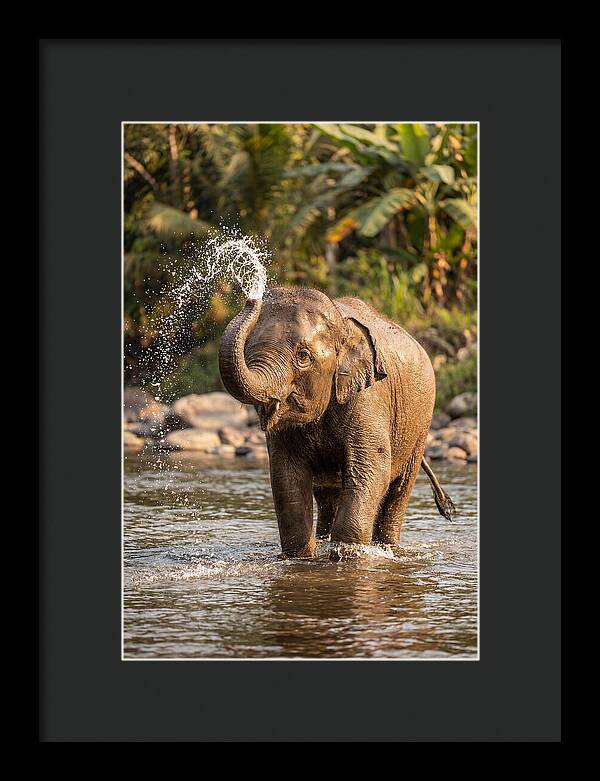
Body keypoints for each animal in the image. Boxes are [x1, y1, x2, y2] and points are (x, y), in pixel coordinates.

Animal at [219, 286, 455, 558]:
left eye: (303, 356)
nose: (251, 298)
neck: (342, 326)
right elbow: (286, 477)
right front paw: (302, 557)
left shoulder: (368, 398)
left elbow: (372, 468)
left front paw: (347, 554)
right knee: (327, 494)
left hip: (420, 425)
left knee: (399, 490)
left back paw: (388, 547)